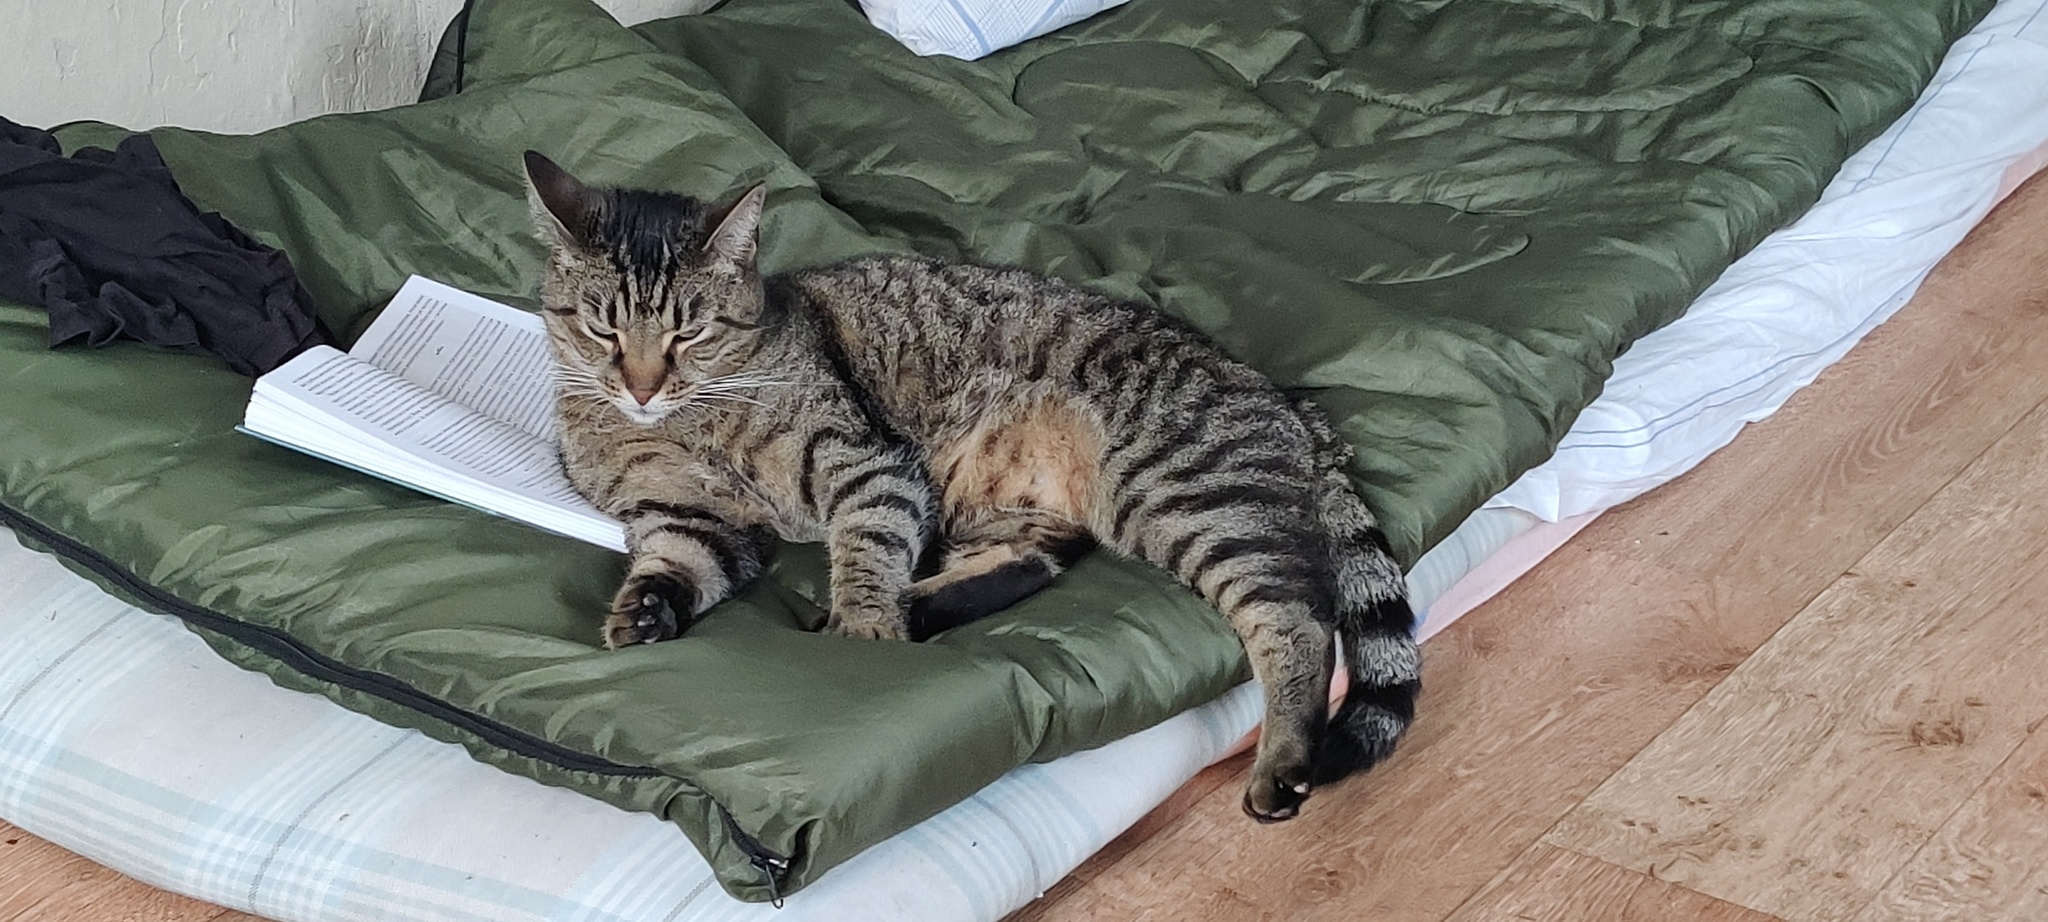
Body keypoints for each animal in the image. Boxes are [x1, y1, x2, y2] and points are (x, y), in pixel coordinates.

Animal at [523, 150, 1419, 821]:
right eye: (602, 328)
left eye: (690, 331)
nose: (641, 386)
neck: (683, 427)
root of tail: (1288, 399)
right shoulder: (686, 518)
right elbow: (675, 562)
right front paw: (643, 612)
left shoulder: (869, 465)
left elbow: (866, 551)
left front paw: (864, 628)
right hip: (1030, 505)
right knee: (1039, 559)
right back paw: (920, 608)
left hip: (1178, 495)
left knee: (1298, 620)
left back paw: (1283, 763)